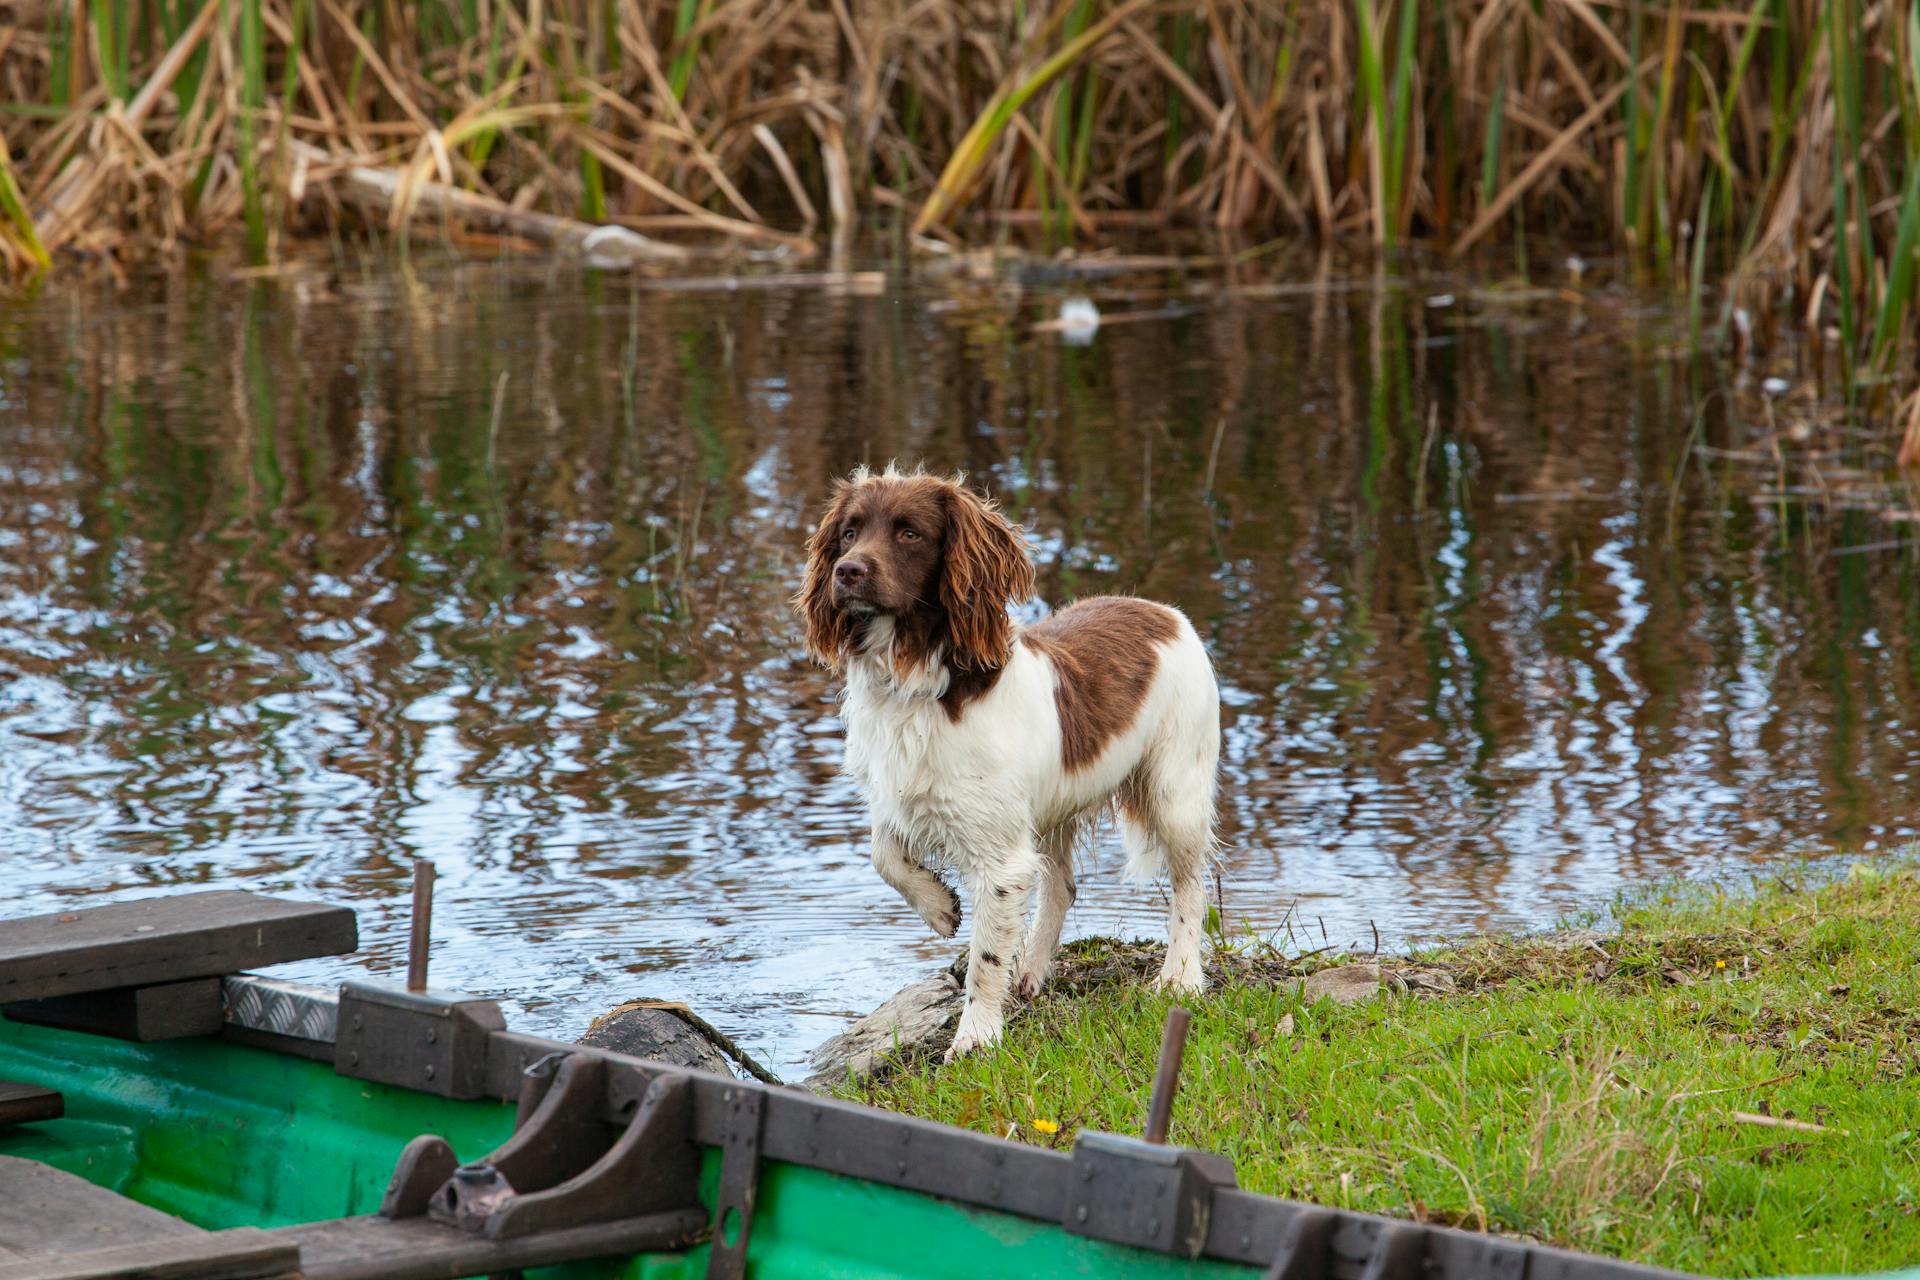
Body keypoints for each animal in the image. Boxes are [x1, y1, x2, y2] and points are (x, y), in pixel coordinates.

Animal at [798, 466, 1221, 1059]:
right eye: (849, 532)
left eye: (909, 533)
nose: (847, 571)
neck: (916, 683)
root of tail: (1162, 610)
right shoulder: (899, 796)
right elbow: (884, 853)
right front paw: (939, 907)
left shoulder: (1001, 858)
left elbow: (984, 957)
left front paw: (974, 1039)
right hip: (1053, 809)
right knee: (1062, 886)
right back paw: (1033, 971)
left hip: (1175, 789)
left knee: (1190, 885)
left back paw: (1180, 977)